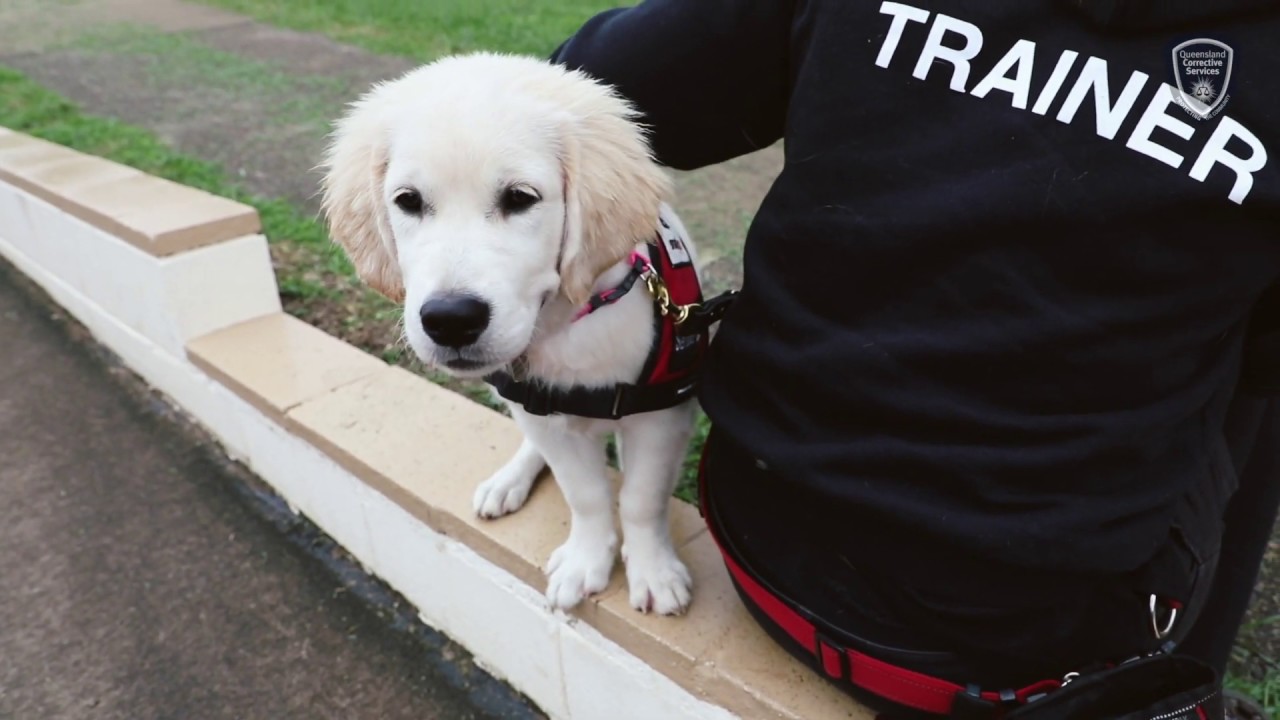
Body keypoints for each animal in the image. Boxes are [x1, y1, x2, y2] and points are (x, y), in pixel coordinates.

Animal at [317, 51, 701, 609]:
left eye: (520, 198)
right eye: (408, 201)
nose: (451, 320)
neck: (567, 333)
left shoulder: (662, 415)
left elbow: (640, 497)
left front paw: (654, 571)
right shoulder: (545, 416)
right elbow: (585, 494)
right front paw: (587, 559)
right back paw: (508, 482)